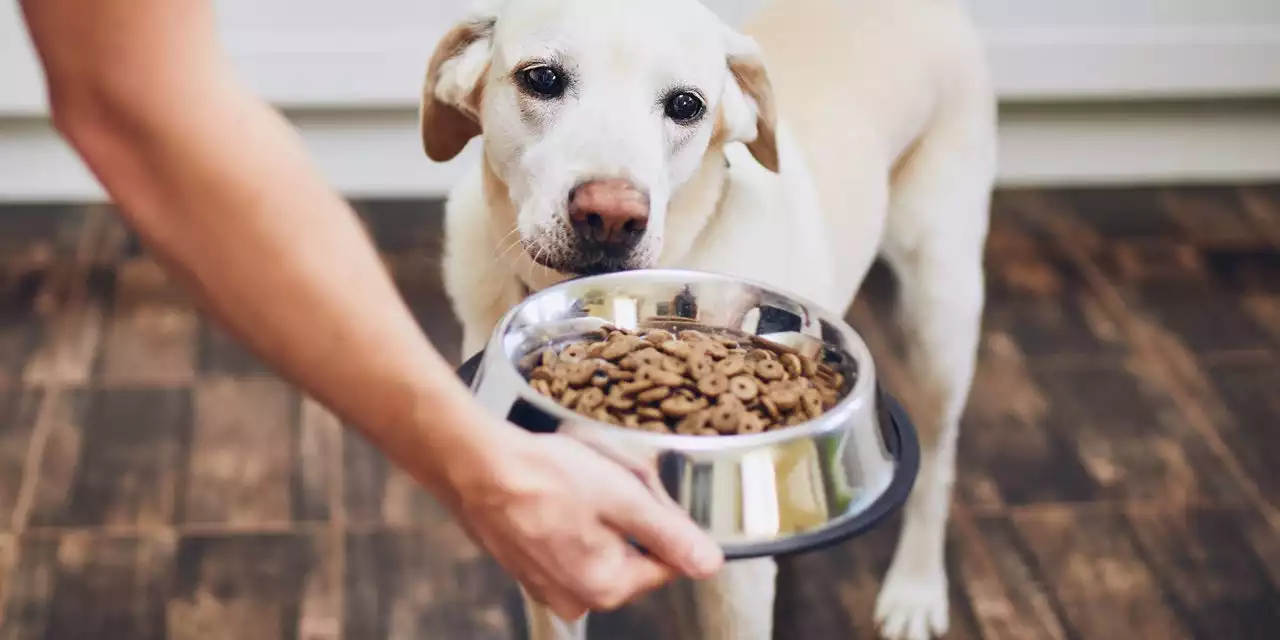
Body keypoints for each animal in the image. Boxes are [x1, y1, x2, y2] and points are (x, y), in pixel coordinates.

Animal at [422, 0, 998, 637]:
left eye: (686, 105)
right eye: (542, 78)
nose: (611, 216)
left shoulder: (735, 580)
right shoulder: (551, 550)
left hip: (940, 313)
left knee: (938, 463)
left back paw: (915, 589)